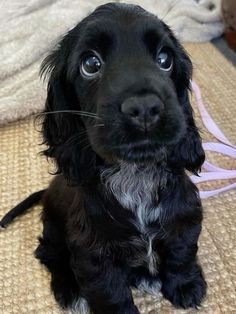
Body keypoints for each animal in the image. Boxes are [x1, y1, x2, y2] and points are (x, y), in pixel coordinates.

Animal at [0, 3, 206, 314]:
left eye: (164, 59)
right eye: (91, 64)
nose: (145, 107)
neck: (134, 173)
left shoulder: (183, 217)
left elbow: (181, 253)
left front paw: (186, 287)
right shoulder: (92, 252)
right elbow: (110, 293)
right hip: (54, 229)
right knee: (49, 254)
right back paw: (70, 291)